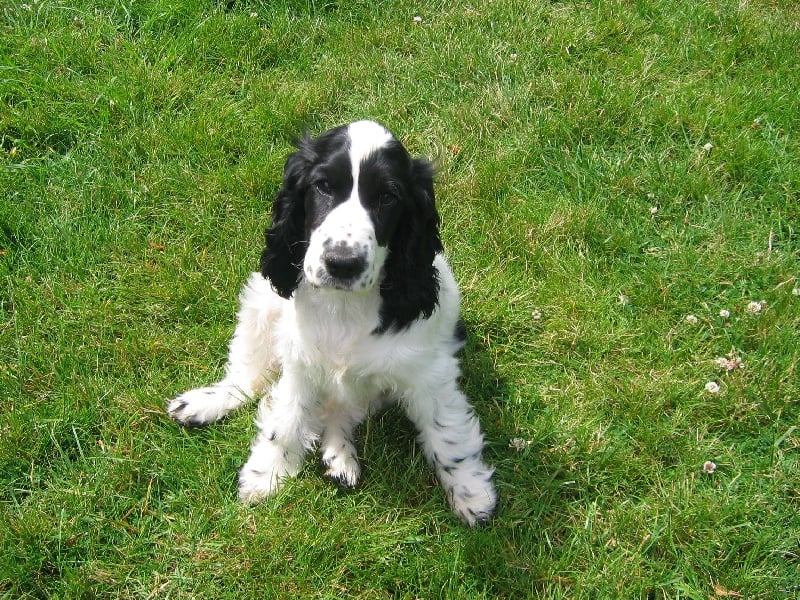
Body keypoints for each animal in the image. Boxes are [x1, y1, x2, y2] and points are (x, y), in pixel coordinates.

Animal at [167, 120, 497, 526]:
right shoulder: (300, 364)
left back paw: (340, 457)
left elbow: (447, 433)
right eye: (323, 185)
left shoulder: (429, 373)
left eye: (388, 197)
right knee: (249, 378)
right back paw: (204, 403)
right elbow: (285, 420)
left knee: (338, 412)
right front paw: (266, 475)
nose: (342, 263)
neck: (345, 307)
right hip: (261, 302)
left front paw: (472, 494)